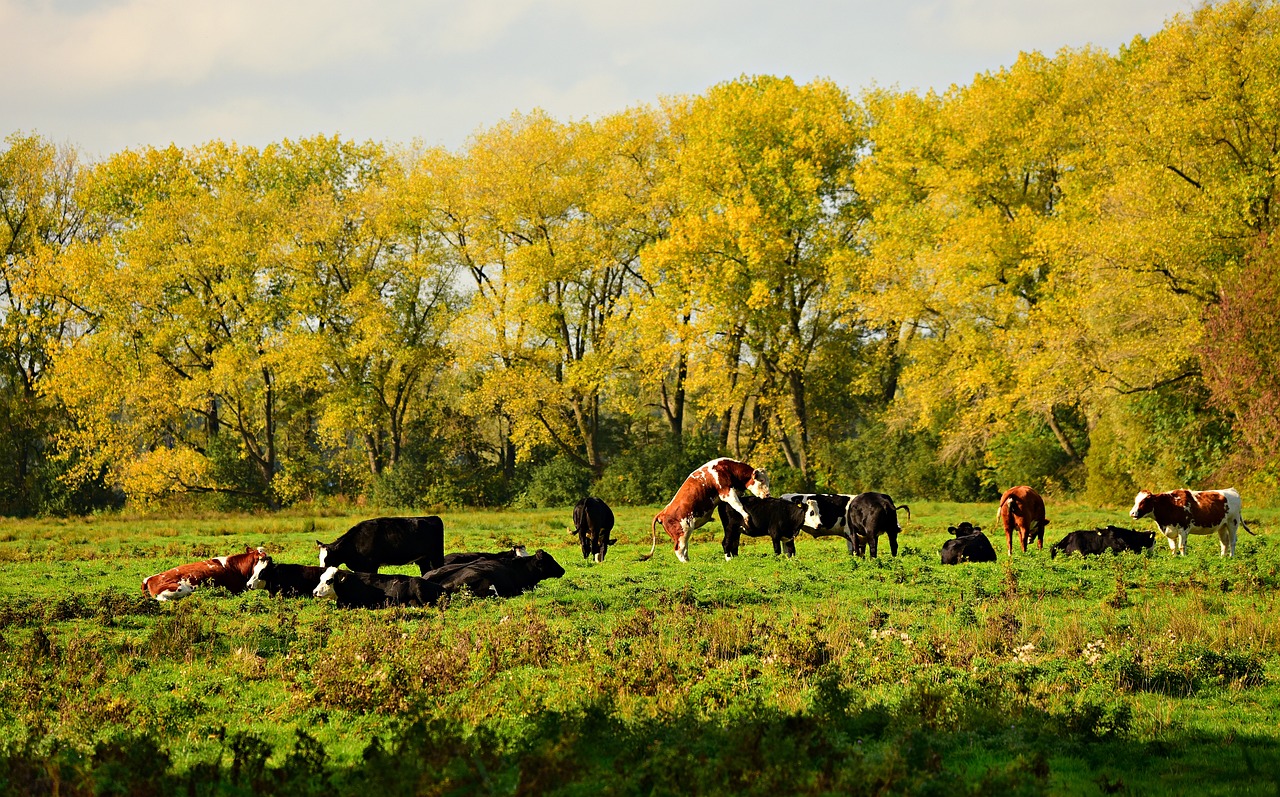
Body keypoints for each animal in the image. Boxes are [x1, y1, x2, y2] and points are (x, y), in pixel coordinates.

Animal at [314, 514, 445, 575]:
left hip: (436, 556)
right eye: (319, 557)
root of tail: (433, 517)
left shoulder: (372, 565)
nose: (321, 570)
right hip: (423, 559)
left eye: (328, 558)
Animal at [1126, 486, 1254, 555]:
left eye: (1145, 501)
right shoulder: (1169, 531)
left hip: (1233, 522)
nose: (1132, 513)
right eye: (1135, 500)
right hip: (1222, 526)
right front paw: (1174, 558)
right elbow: (1173, 547)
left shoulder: (1184, 529)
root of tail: (1232, 490)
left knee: (1232, 541)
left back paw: (1231, 557)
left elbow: (1182, 546)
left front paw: (1183, 558)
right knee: (1224, 542)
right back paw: (1222, 558)